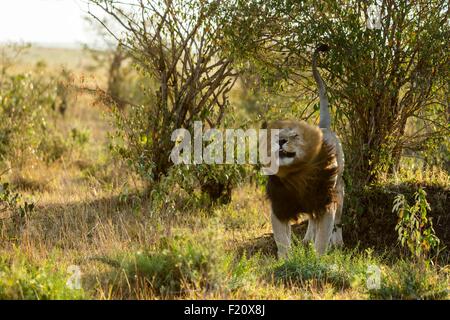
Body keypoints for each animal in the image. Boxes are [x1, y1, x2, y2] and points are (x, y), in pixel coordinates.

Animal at [264, 45, 344, 258]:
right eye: (276, 136)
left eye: (295, 136)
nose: (281, 141)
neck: (296, 175)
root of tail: (323, 127)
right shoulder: (279, 207)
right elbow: (282, 240)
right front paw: (285, 260)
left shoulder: (326, 203)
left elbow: (323, 238)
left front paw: (318, 260)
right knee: (311, 219)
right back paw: (307, 239)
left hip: (338, 189)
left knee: (336, 220)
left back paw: (337, 243)